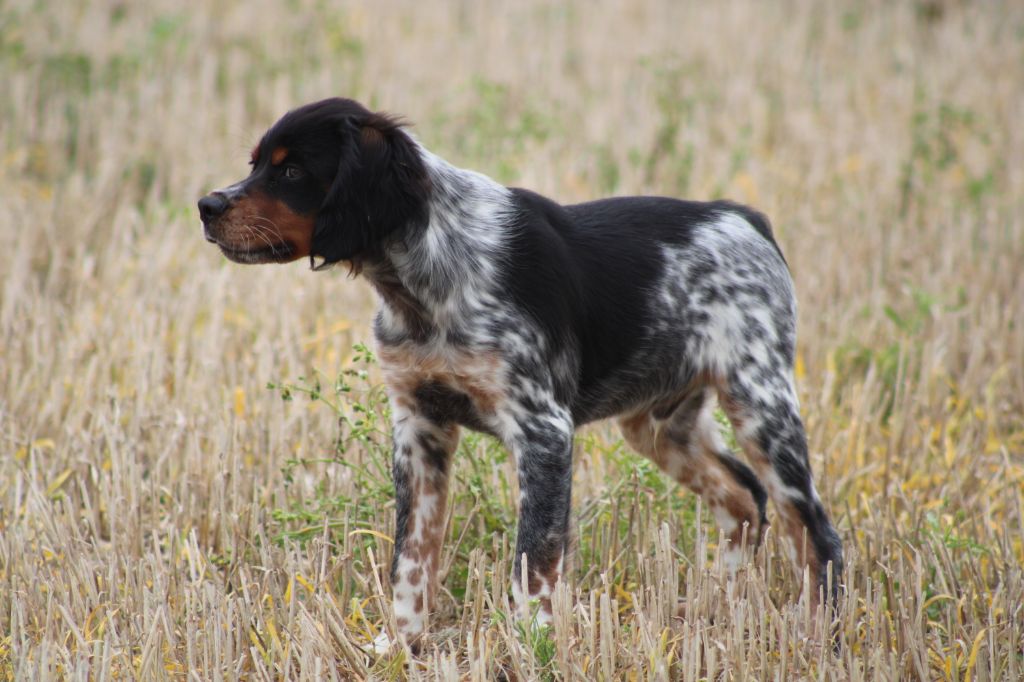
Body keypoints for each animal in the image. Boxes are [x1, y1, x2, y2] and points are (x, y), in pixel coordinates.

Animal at [199, 97, 843, 650]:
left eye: (292, 171)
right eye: (256, 163)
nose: (206, 206)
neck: (426, 278)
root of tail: (746, 218)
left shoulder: (542, 430)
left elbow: (533, 558)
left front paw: (529, 644)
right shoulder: (417, 428)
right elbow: (412, 555)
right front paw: (399, 644)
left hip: (760, 403)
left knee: (814, 529)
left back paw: (818, 634)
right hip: (660, 425)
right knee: (744, 497)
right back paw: (716, 605)